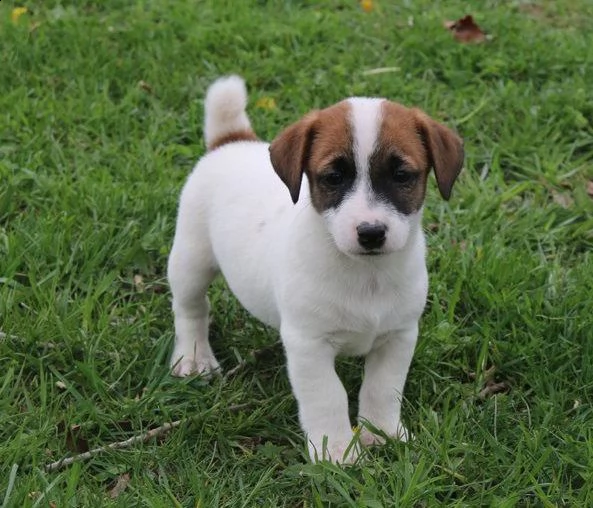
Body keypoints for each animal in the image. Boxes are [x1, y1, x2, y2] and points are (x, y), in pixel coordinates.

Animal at [166, 75, 462, 464]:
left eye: (402, 175)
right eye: (334, 177)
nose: (371, 232)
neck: (365, 274)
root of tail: (232, 141)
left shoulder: (398, 336)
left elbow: (383, 388)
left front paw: (383, 433)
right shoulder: (309, 345)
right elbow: (327, 396)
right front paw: (335, 450)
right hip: (191, 259)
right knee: (190, 309)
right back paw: (194, 357)